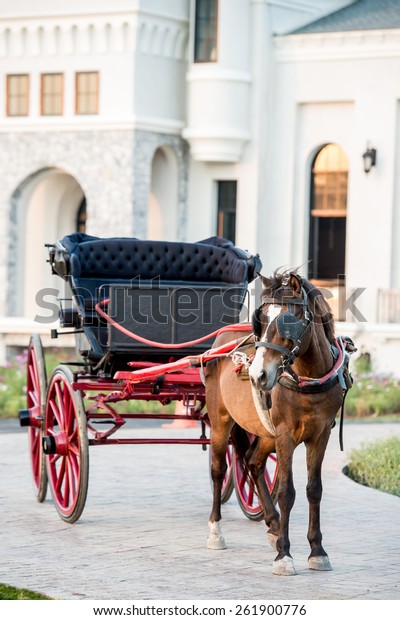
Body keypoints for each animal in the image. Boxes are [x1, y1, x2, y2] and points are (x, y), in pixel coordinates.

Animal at [205, 272, 352, 576]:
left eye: (288, 321)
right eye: (260, 320)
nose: (257, 375)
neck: (309, 377)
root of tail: (220, 341)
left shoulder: (320, 435)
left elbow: (314, 490)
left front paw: (317, 551)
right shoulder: (285, 436)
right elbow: (286, 492)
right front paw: (284, 555)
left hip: (265, 434)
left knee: (252, 461)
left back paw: (272, 523)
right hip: (220, 421)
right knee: (218, 470)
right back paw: (216, 531)